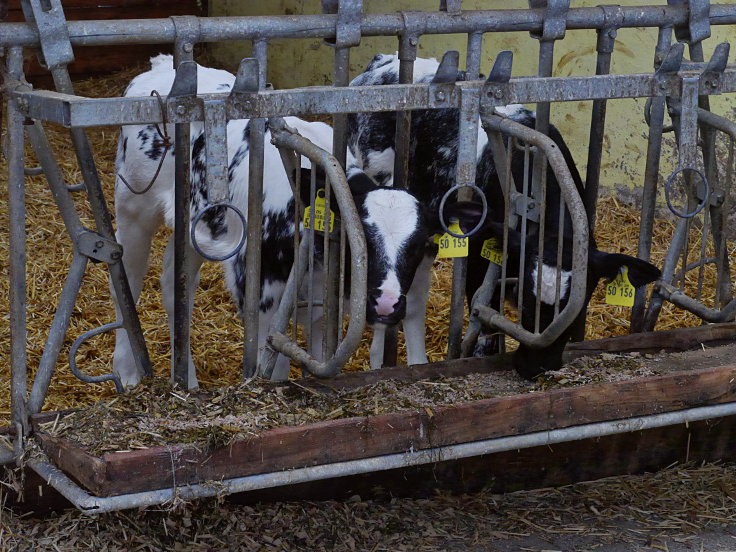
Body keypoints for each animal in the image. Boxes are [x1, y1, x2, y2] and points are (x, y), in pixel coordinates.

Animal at [346, 52, 660, 380]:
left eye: (576, 305)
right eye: (526, 301)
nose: (535, 367)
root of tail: (385, 61)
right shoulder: (477, 256)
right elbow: (483, 317)